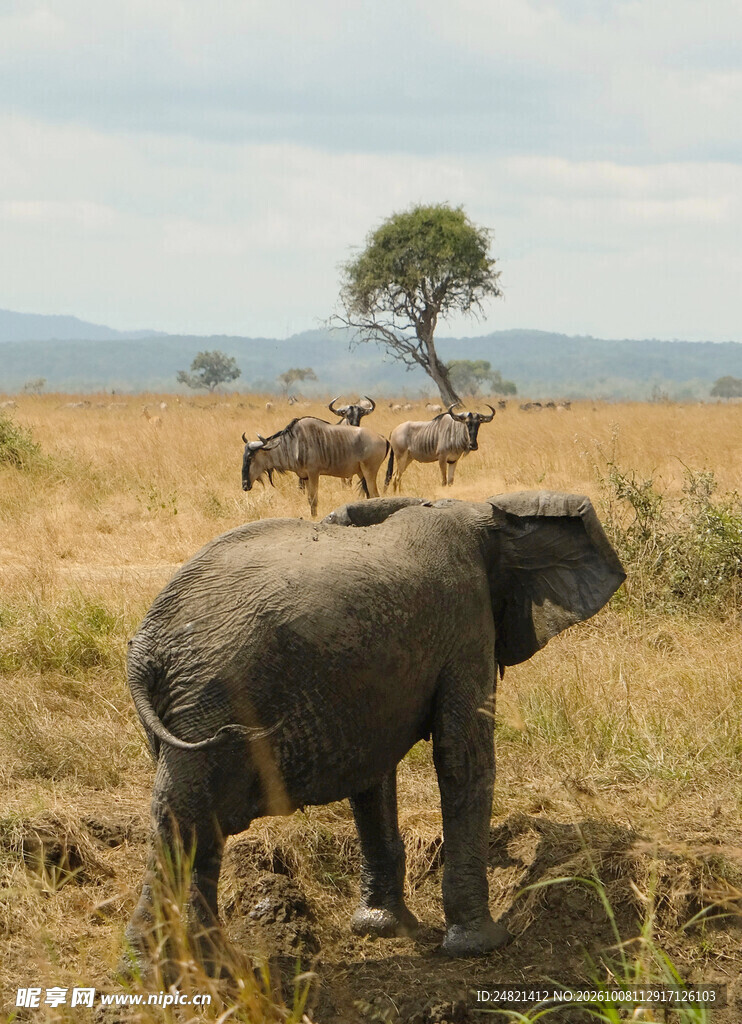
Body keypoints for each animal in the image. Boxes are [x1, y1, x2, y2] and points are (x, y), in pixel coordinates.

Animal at [124, 491, 625, 967]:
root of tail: (145, 649)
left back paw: (210, 965)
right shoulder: (467, 620)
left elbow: (372, 777)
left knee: (188, 823)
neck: (481, 513)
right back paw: (165, 967)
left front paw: (381, 927)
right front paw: (483, 946)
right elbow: (461, 756)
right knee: (186, 817)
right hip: (214, 696)